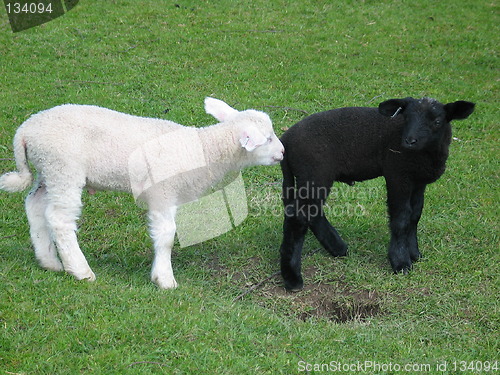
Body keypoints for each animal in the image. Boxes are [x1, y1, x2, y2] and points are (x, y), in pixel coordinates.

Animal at [0, 98, 284, 290]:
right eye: (268, 138)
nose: (282, 152)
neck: (203, 149)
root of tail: (25, 131)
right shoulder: (162, 193)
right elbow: (166, 235)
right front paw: (164, 279)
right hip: (63, 168)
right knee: (60, 219)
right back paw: (80, 270)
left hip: (48, 171)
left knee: (34, 206)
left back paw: (49, 261)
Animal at [280, 96, 474, 290]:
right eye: (406, 118)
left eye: (437, 121)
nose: (409, 141)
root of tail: (286, 140)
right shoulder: (397, 174)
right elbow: (401, 218)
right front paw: (400, 262)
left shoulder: (418, 182)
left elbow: (415, 216)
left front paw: (415, 253)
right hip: (314, 173)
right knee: (299, 216)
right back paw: (293, 278)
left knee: (311, 213)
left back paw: (338, 248)